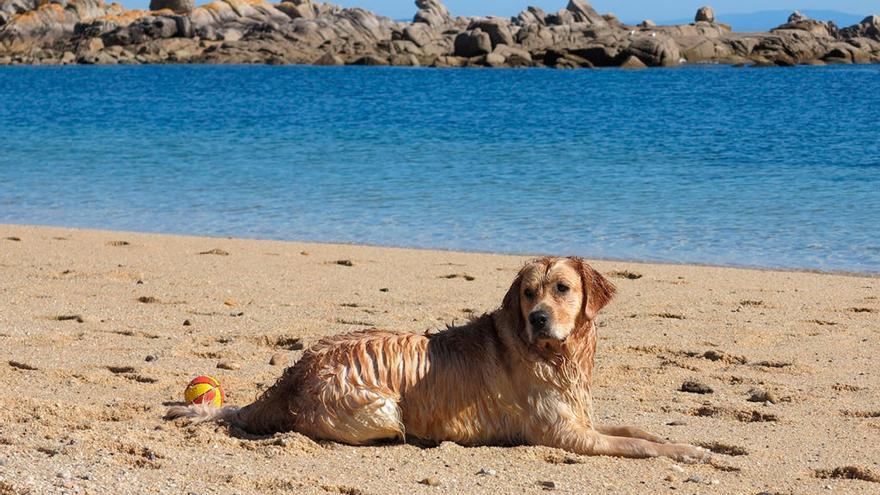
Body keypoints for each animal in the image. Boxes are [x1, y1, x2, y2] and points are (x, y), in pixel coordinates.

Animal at [167, 258, 708, 464]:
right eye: (528, 293)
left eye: (562, 288)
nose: (537, 318)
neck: (555, 356)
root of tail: (295, 369)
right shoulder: (563, 434)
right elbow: (637, 445)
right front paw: (685, 452)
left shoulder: (581, 418)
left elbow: (637, 431)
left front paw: (696, 445)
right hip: (382, 409)